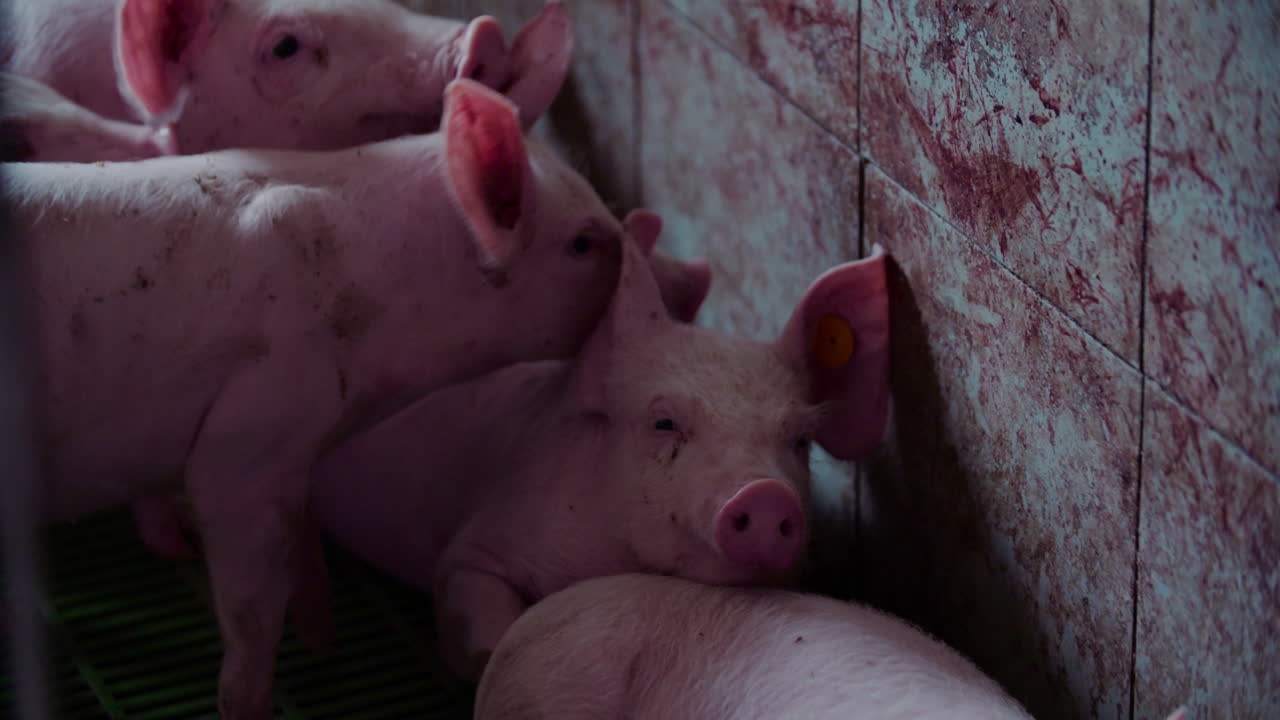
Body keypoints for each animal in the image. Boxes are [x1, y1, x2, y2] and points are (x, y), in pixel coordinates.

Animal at [10, 79, 643, 719]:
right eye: (583, 243)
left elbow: (298, 539)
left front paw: (320, 637)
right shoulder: (252, 437)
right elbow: (253, 609)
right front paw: (260, 694)